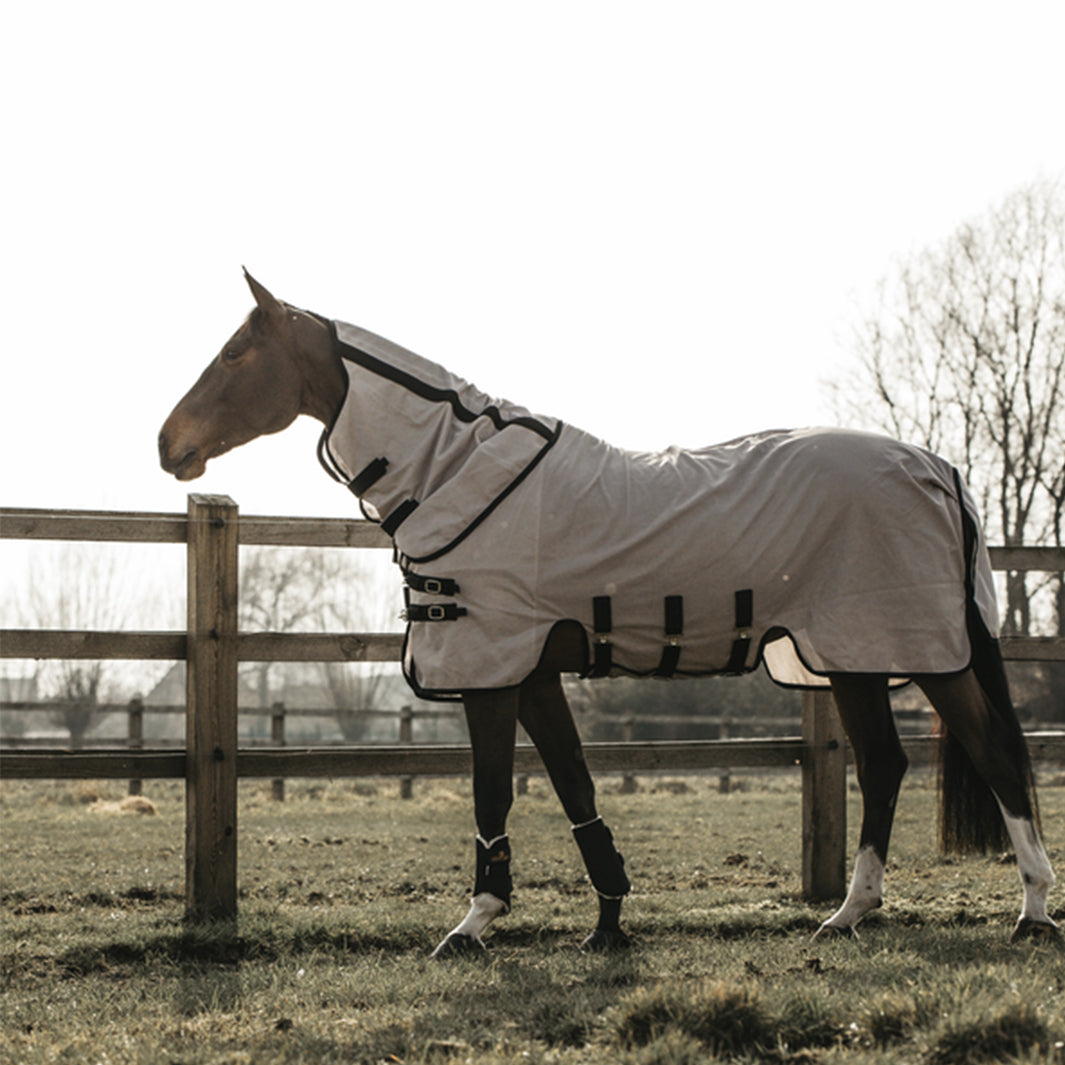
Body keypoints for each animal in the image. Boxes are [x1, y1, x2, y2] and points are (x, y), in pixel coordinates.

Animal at [159, 269, 1057, 953]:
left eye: (236, 352)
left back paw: (1029, 912)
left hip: (908, 648)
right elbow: (573, 784)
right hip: (858, 659)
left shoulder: (490, 674)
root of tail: (936, 466)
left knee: (990, 756)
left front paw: (474, 923)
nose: (169, 444)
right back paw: (850, 913)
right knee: (888, 763)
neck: (457, 469)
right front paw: (608, 920)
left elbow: (494, 791)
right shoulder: (532, 675)